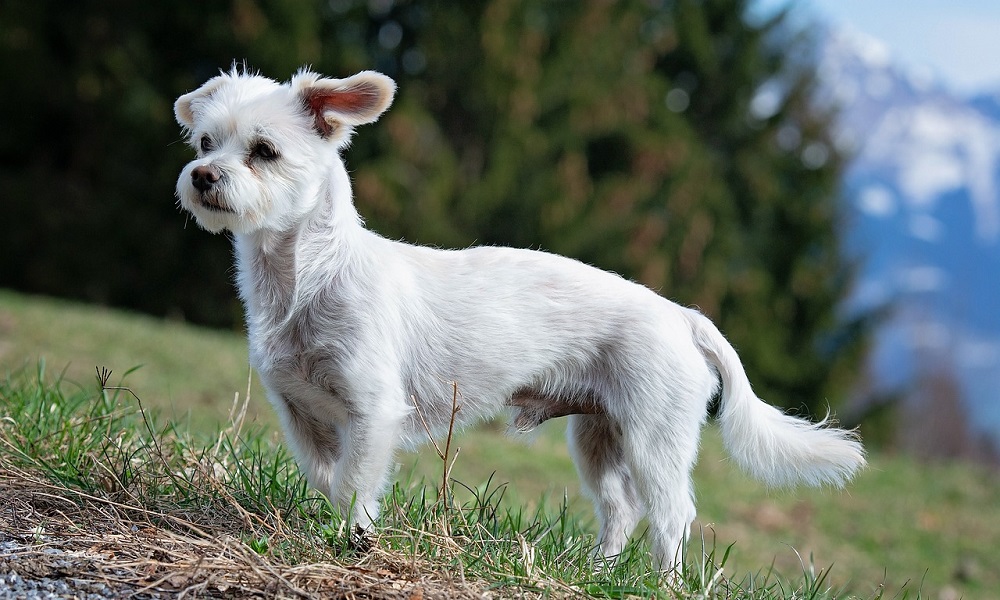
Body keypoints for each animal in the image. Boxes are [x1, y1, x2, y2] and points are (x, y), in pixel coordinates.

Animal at [174, 67, 868, 572]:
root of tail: (683, 315)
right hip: (598, 439)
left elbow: (354, 487)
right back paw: (598, 571)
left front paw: (351, 542)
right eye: (205, 142)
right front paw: (331, 532)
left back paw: (660, 582)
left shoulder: (372, 413)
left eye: (265, 151)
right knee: (621, 510)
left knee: (673, 516)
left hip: (655, 439)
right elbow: (328, 481)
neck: (305, 278)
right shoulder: (303, 415)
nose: (202, 175)